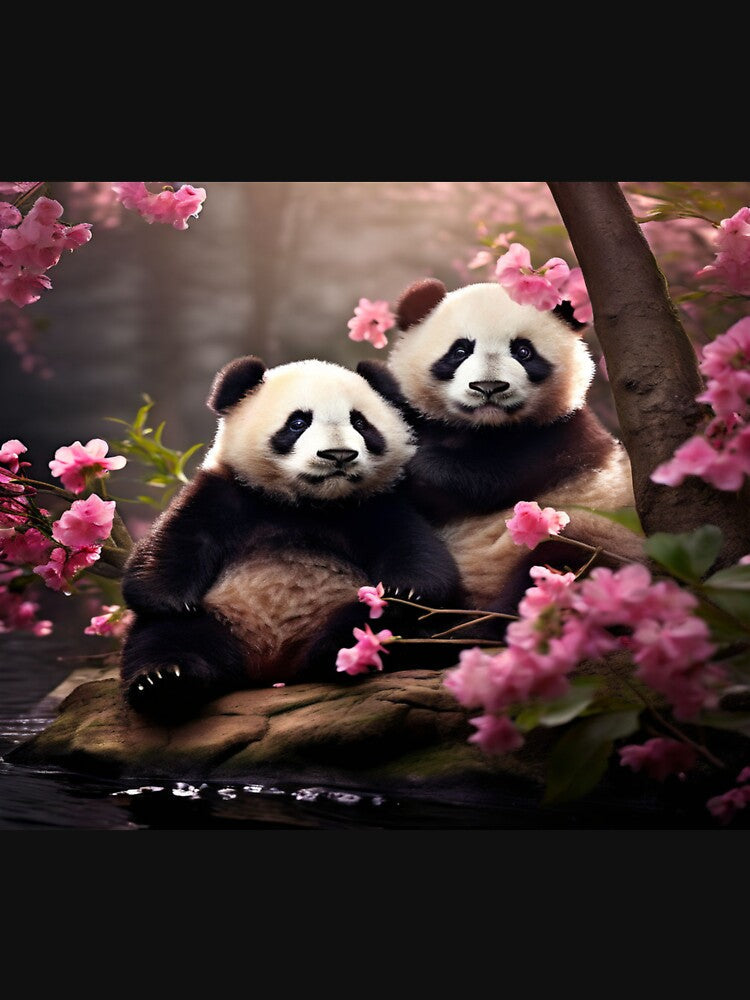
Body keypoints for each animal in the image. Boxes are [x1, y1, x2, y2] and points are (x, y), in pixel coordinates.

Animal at [120, 355, 464, 722]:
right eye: (298, 422)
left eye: (360, 422)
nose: (338, 454)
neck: (304, 504)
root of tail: (272, 666)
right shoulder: (224, 493)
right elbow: (174, 543)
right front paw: (170, 599)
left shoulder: (375, 505)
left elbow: (417, 550)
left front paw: (407, 590)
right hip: (217, 618)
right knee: (167, 637)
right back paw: (165, 682)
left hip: (342, 608)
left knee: (375, 622)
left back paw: (354, 653)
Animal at [357, 279, 645, 618]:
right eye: (460, 351)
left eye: (523, 351)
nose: (489, 387)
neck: (485, 427)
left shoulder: (562, 437)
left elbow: (489, 478)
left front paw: (424, 465)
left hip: (598, 542)